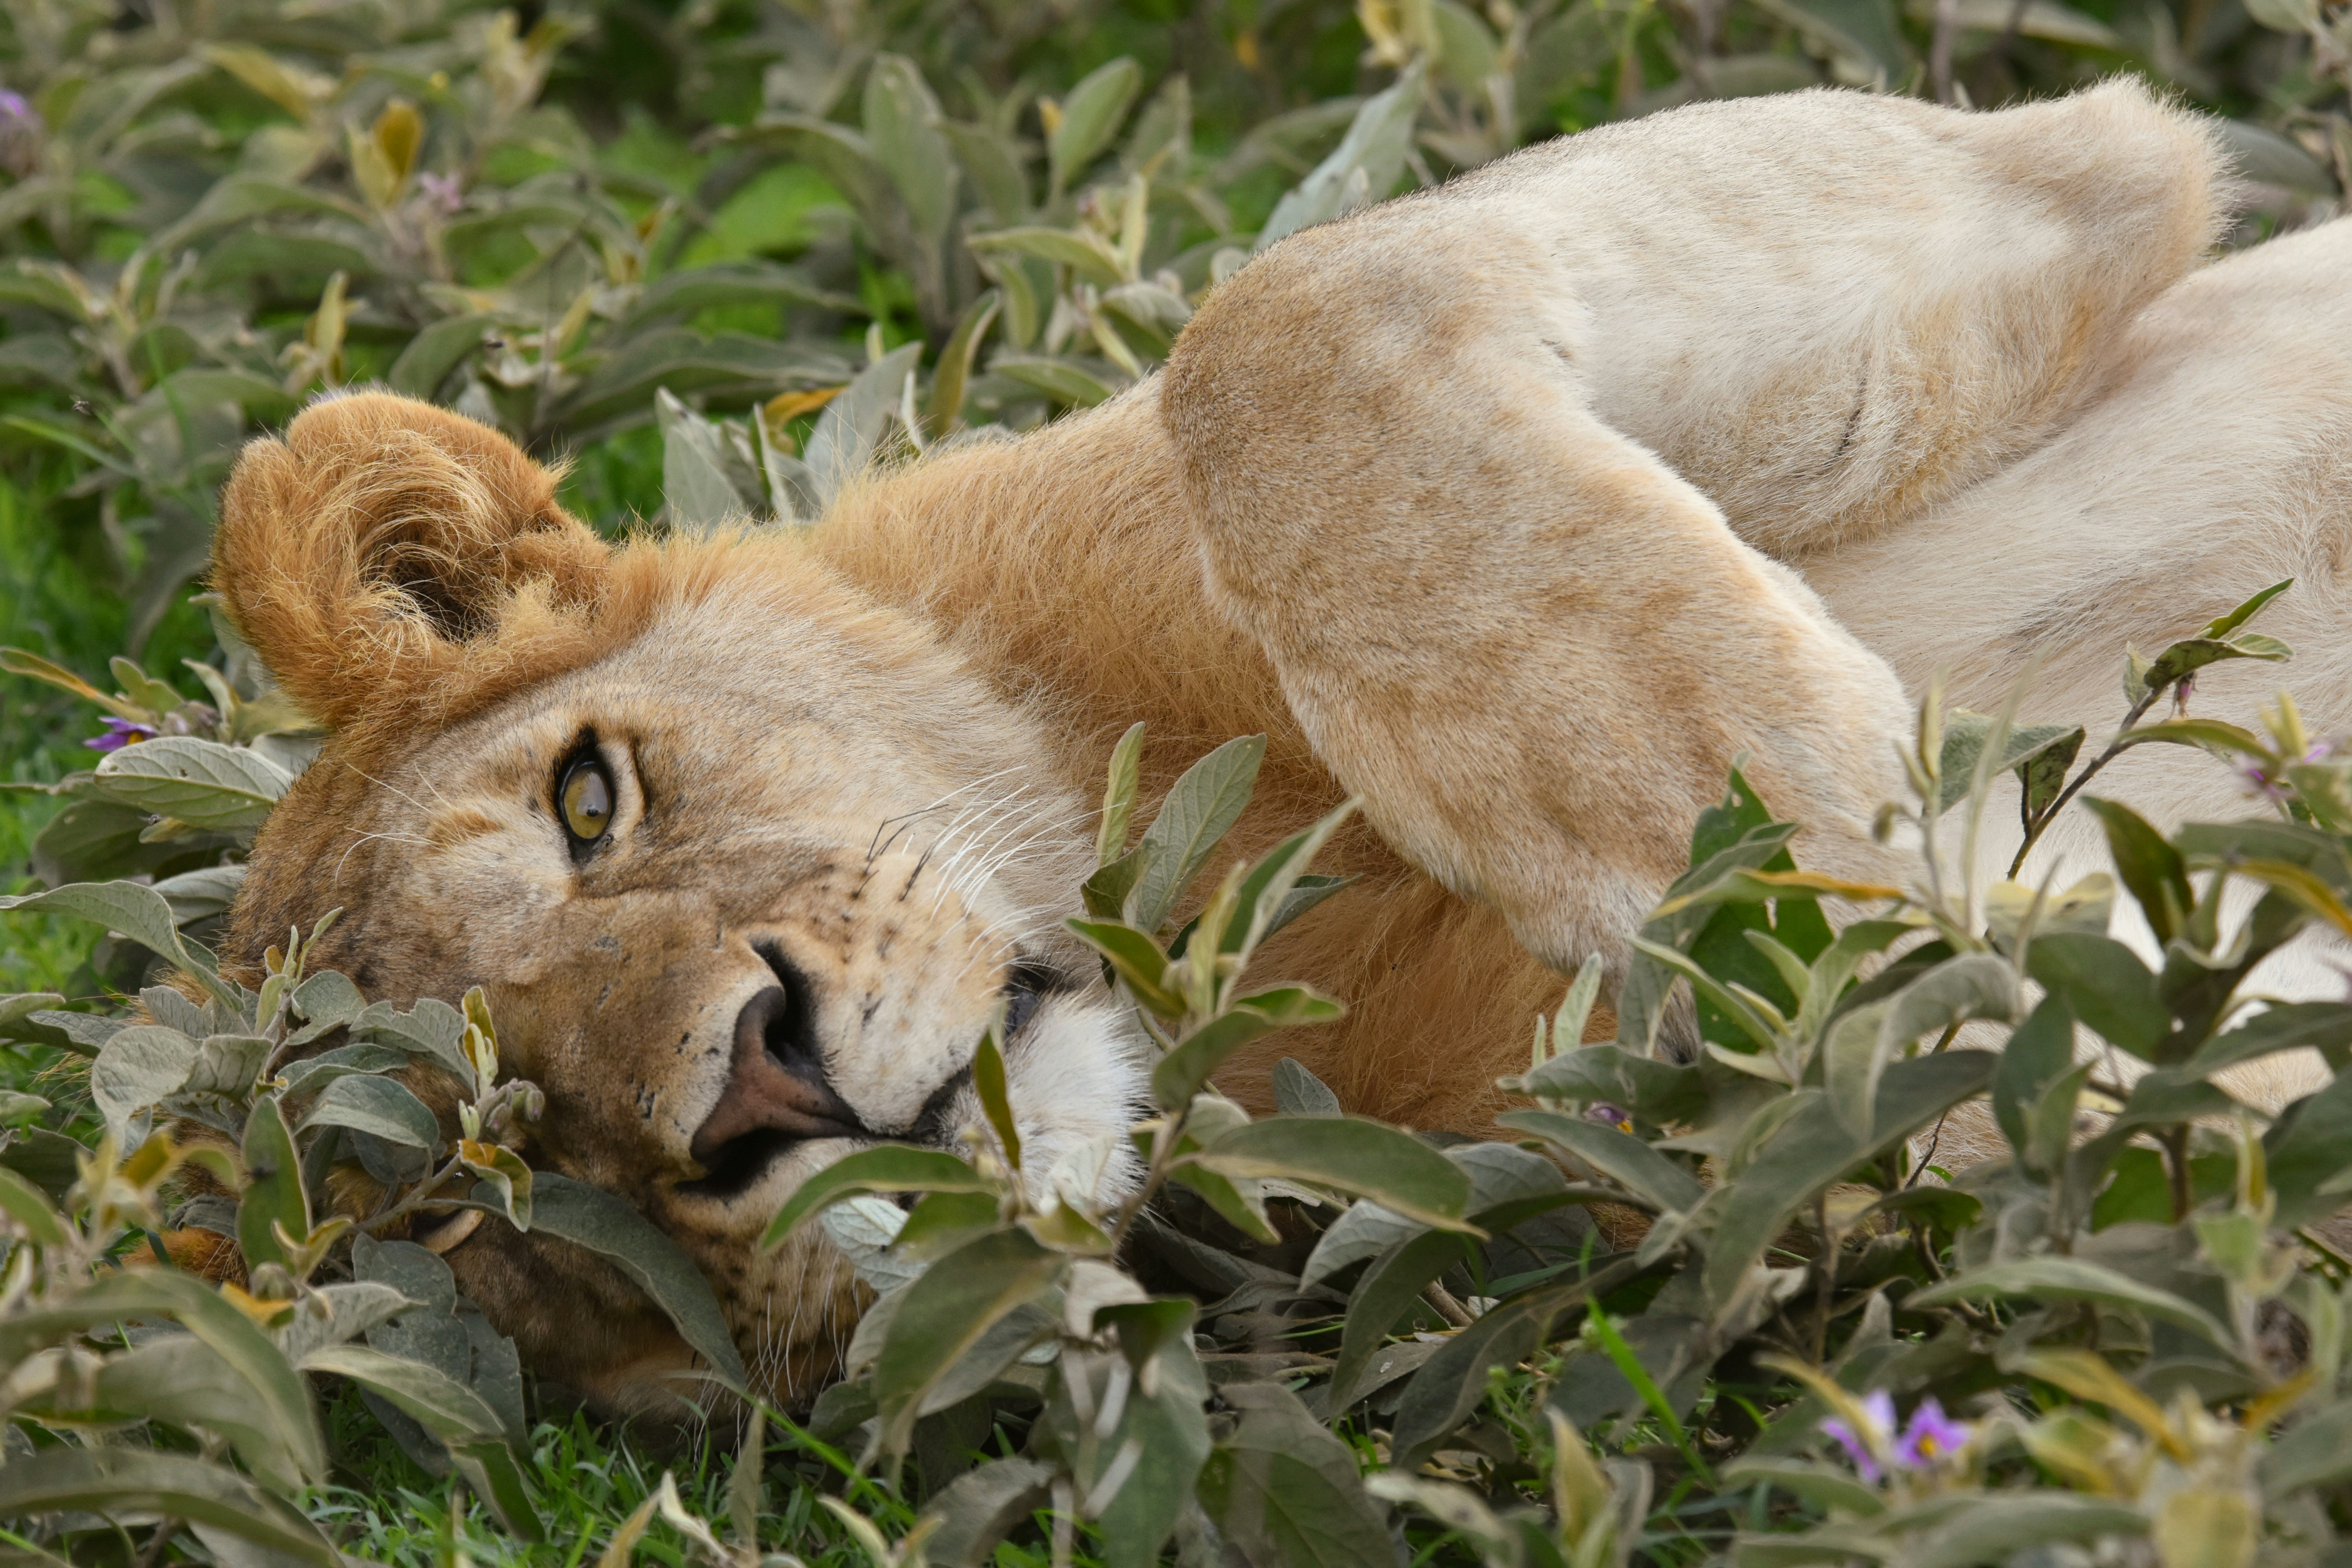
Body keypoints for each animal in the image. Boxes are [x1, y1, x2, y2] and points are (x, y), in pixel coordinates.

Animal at [206, 79, 2352, 1410]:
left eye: (590, 798)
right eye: (499, 1181)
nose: (753, 1083)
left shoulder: (2059, 180)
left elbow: (1276, 319)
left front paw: (1731, 788)